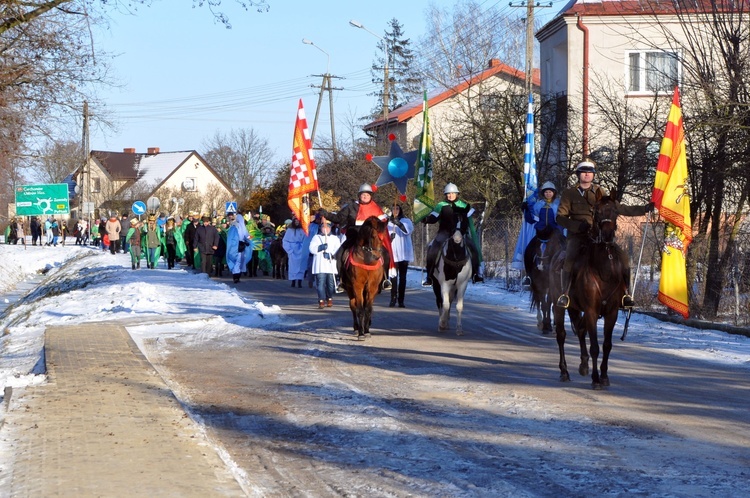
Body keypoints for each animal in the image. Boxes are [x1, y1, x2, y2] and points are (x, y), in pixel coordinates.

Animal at [552, 194, 628, 390]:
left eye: (615, 210)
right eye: (597, 211)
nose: (608, 235)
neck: (603, 271)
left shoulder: (611, 313)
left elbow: (607, 345)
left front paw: (604, 376)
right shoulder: (592, 311)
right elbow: (595, 346)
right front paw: (595, 379)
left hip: (576, 308)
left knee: (580, 330)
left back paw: (583, 365)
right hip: (559, 306)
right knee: (561, 335)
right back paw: (564, 372)